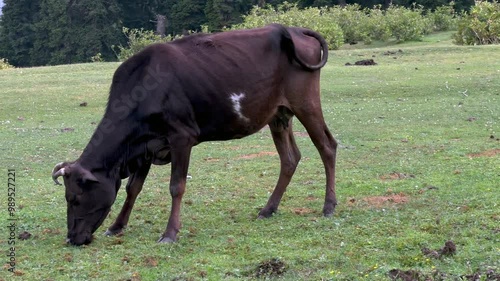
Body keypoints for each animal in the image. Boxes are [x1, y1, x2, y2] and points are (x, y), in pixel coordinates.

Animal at [52, 23, 338, 245]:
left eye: (74, 199)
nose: (72, 238)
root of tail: (291, 29)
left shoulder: (181, 138)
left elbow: (176, 186)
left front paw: (170, 233)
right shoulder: (146, 146)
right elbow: (133, 188)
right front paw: (117, 226)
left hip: (306, 103)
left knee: (327, 146)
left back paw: (328, 205)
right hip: (278, 115)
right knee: (289, 158)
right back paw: (268, 208)